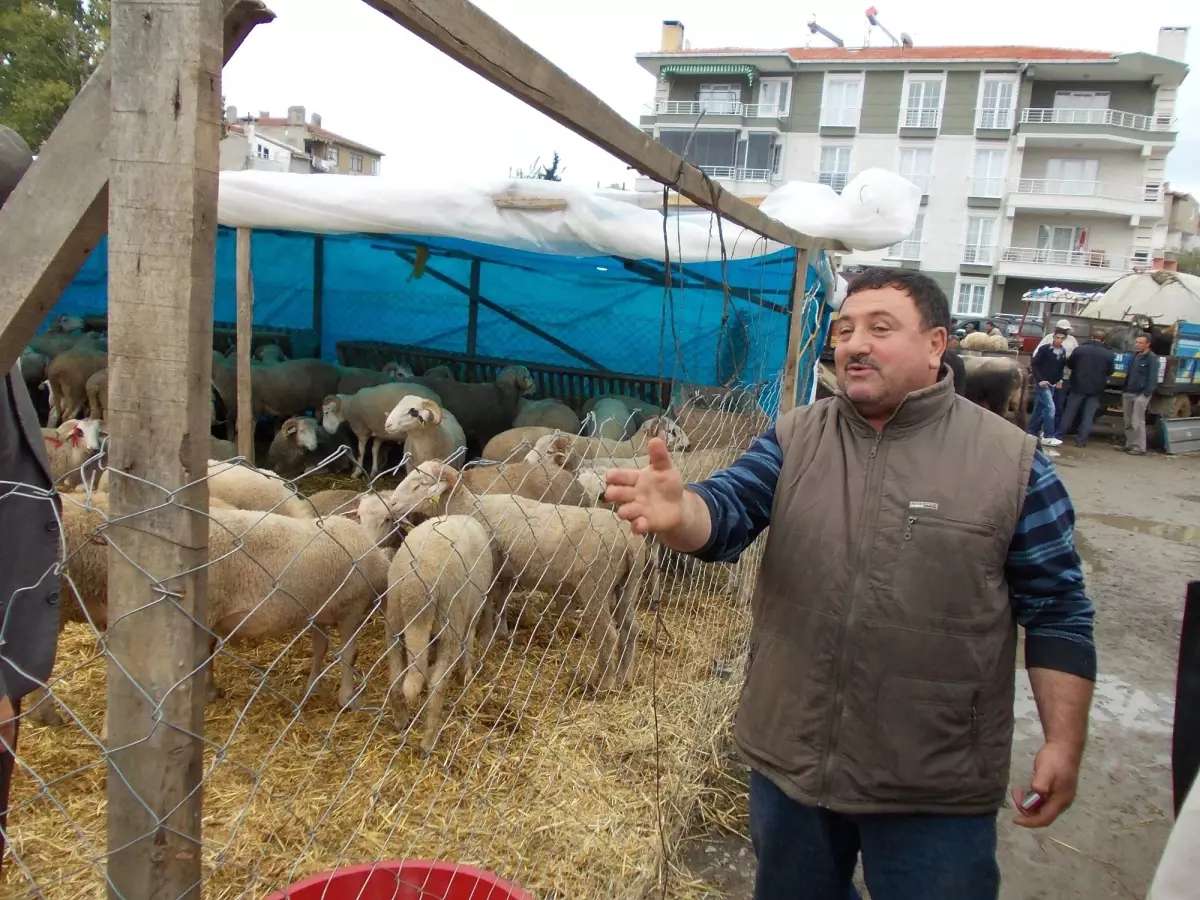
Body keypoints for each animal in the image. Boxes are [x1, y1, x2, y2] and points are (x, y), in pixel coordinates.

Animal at [386, 460, 648, 696]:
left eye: (420, 484)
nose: (392, 503)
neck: (470, 507)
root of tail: (629, 539)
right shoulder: (508, 570)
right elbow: (501, 602)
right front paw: (501, 633)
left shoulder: (491, 567)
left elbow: (489, 605)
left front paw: (486, 637)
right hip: (627, 584)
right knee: (630, 628)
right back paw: (626, 677)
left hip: (596, 585)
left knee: (609, 634)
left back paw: (606, 684)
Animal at [386, 513, 494, 753]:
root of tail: (417, 586)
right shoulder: (474, 609)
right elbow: (469, 642)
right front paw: (467, 673)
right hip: (451, 620)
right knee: (437, 686)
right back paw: (428, 741)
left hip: (395, 623)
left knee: (396, 677)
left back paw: (401, 721)